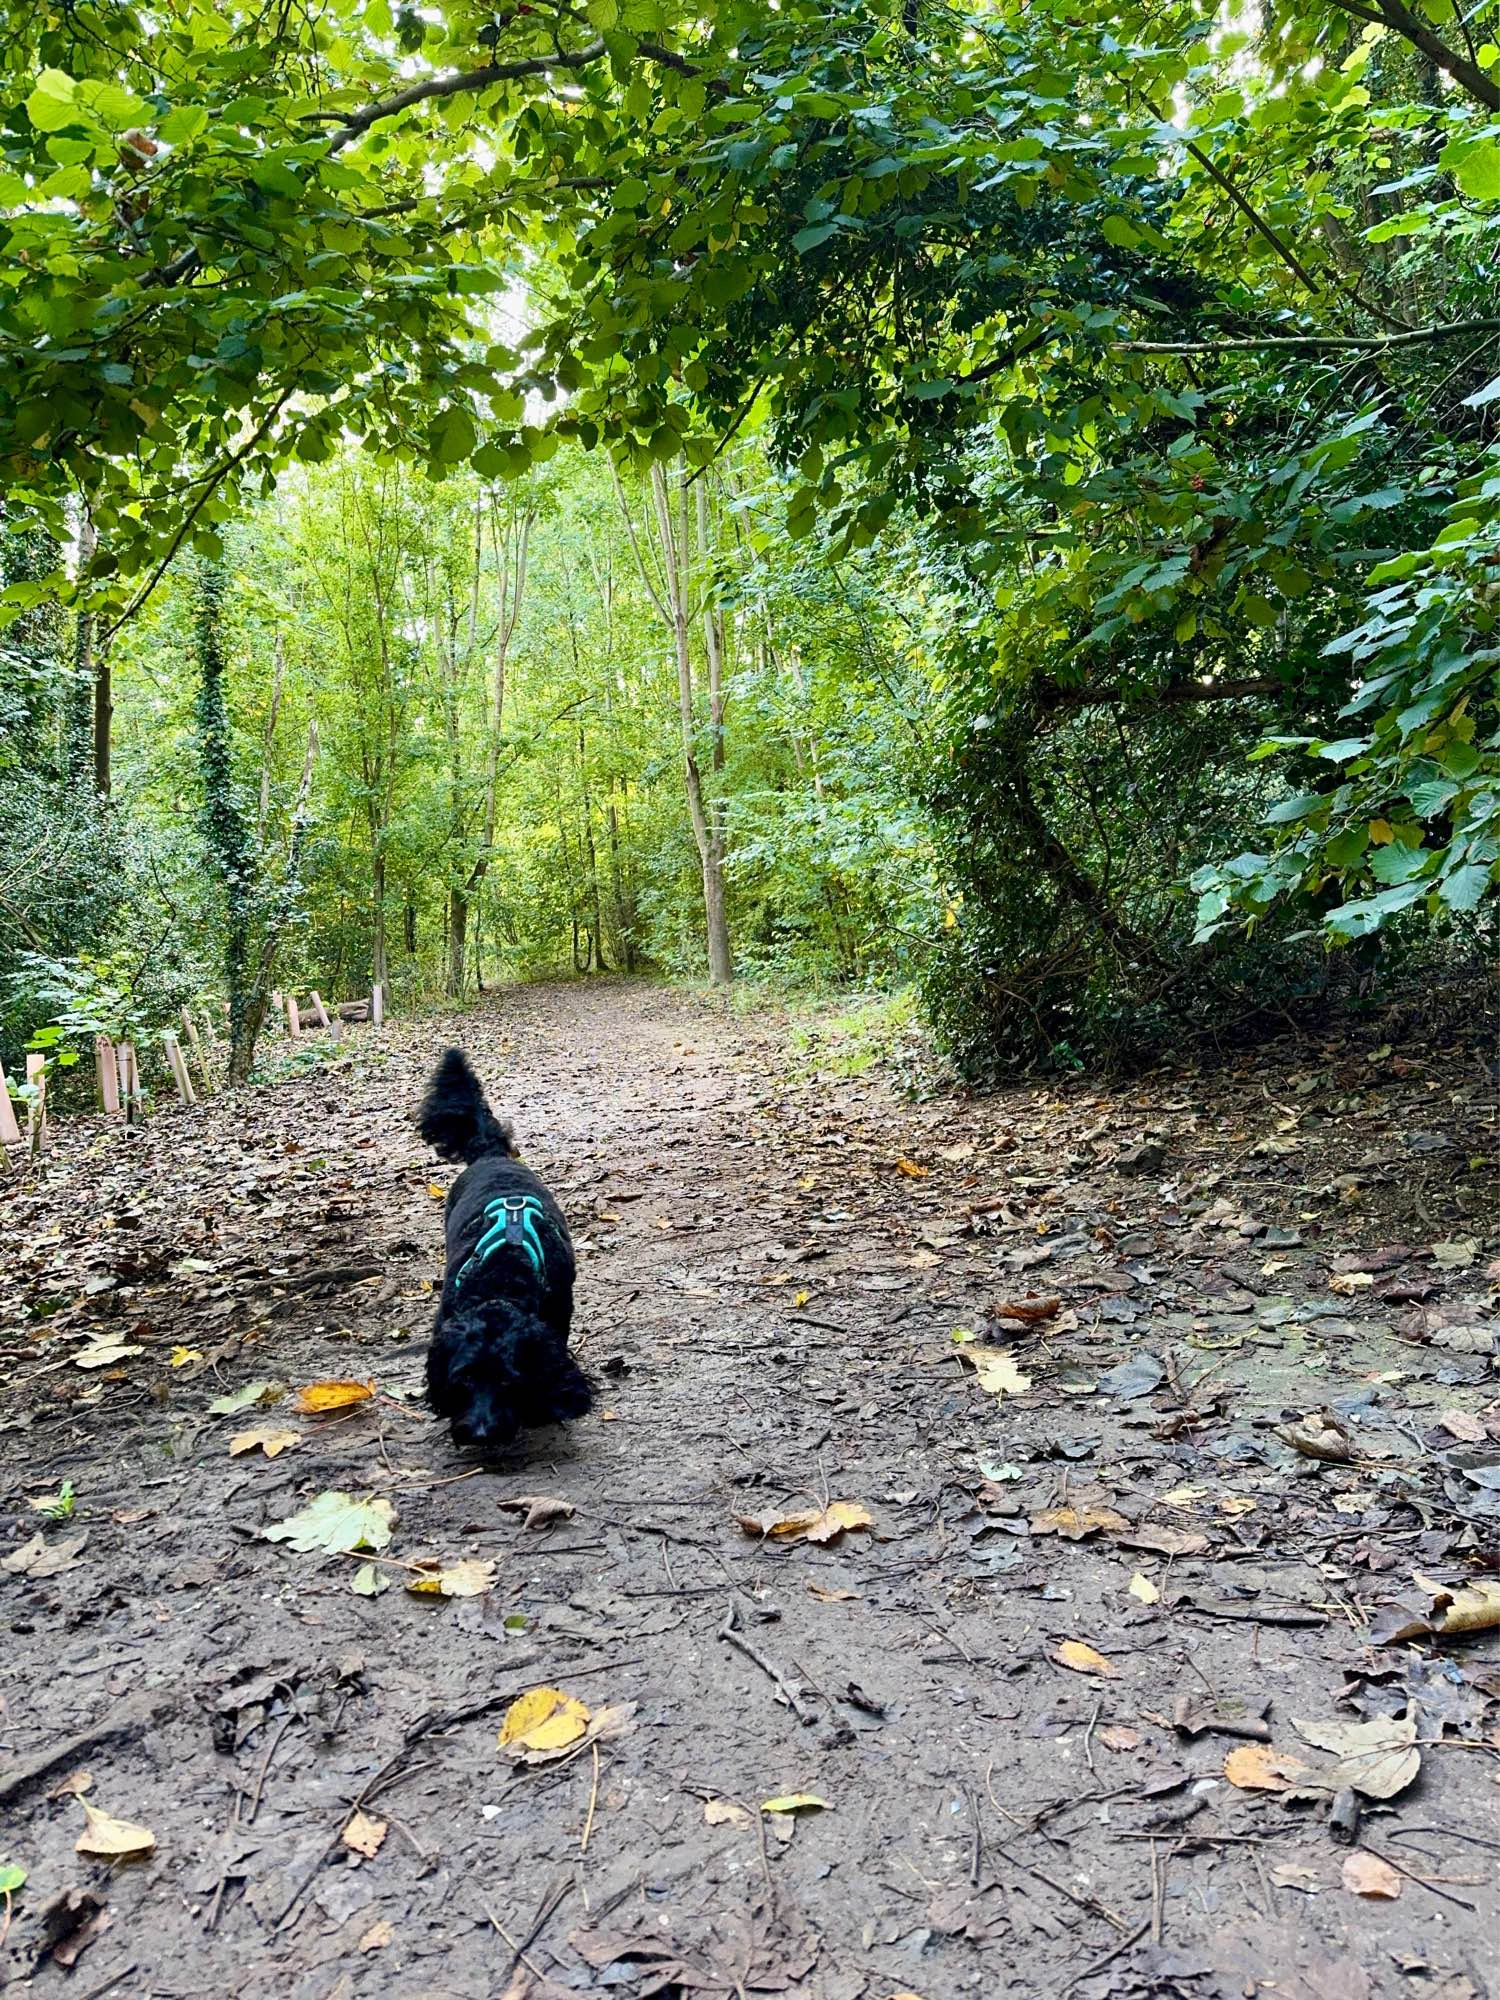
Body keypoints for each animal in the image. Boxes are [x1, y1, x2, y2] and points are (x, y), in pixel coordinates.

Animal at [420, 1048, 596, 1456]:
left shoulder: (556, 1320)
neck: (501, 1275)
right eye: (465, 1379)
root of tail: (491, 1156)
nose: (481, 1433)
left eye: (507, 1382)